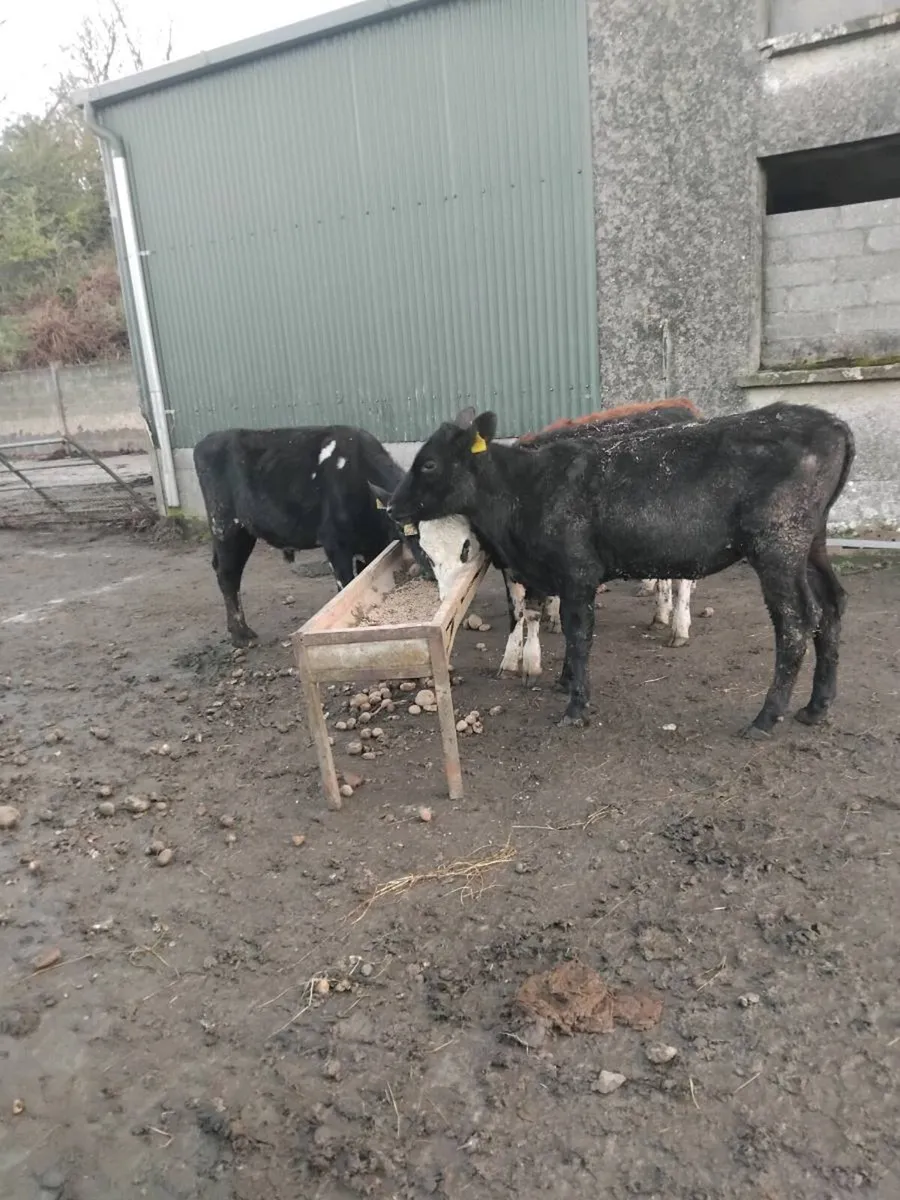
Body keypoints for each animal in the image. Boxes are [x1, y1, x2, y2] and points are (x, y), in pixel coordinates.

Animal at [193, 425, 429, 646]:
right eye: (408, 531)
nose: (431, 571)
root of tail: (209, 439)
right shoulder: (334, 543)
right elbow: (346, 586)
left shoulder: (372, 546)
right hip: (226, 526)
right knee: (228, 574)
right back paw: (241, 635)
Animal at [386, 403, 854, 735]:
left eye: (428, 464)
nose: (392, 505)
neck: (525, 489)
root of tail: (832, 423)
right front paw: (564, 681)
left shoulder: (578, 572)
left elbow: (578, 634)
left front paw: (575, 705)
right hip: (811, 544)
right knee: (831, 606)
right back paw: (816, 707)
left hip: (778, 546)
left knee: (796, 621)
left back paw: (766, 717)